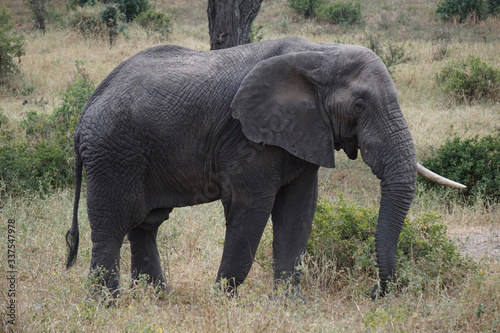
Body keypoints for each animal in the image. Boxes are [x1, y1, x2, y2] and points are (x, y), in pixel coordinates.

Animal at [64, 36, 462, 298]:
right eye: (360, 105)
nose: (375, 293)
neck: (320, 52)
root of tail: (85, 111)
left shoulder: (304, 132)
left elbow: (298, 213)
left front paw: (290, 304)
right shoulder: (246, 137)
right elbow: (251, 209)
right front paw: (223, 300)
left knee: (145, 224)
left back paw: (157, 298)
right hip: (113, 153)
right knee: (113, 224)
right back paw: (108, 304)